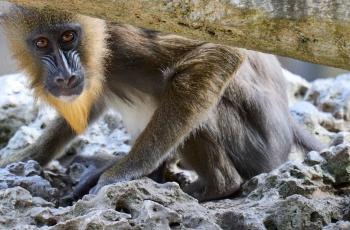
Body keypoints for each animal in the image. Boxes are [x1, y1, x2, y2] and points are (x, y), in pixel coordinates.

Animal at [0, 5, 322, 201]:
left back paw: (216, 187)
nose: (65, 75)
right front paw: (22, 158)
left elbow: (222, 52)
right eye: (42, 43)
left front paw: (122, 173)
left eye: (68, 36)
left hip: (253, 147)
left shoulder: (124, 39)